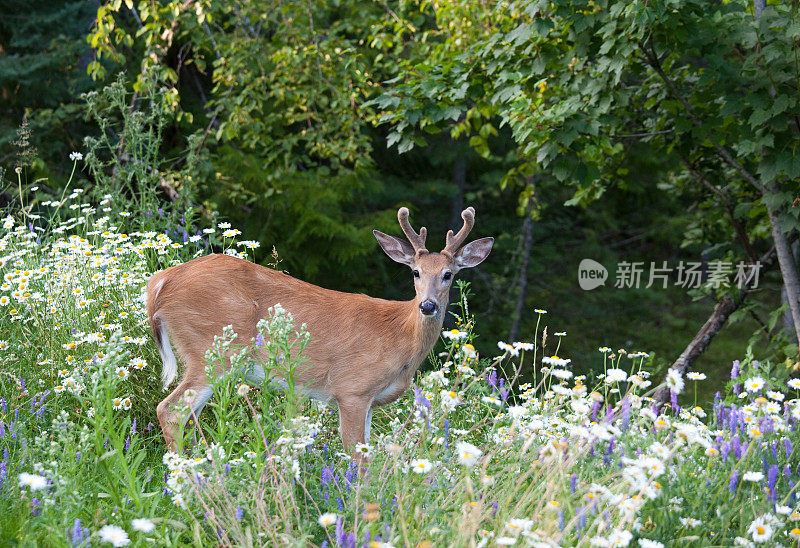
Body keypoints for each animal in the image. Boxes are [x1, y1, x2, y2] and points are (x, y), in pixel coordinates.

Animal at [146, 206, 490, 454]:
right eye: (415, 272)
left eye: (448, 274)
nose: (428, 305)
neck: (400, 335)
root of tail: (161, 281)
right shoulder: (352, 388)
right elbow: (357, 457)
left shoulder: (369, 400)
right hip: (211, 350)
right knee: (170, 411)